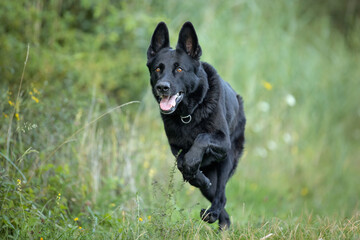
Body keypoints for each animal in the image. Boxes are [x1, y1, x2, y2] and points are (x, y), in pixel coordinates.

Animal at [146, 21, 245, 229]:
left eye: (179, 69)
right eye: (158, 69)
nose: (162, 87)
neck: (188, 114)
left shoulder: (221, 141)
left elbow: (201, 138)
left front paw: (192, 162)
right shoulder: (175, 148)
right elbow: (182, 163)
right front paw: (195, 176)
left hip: (227, 158)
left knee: (221, 196)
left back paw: (212, 213)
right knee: (220, 202)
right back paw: (218, 221)